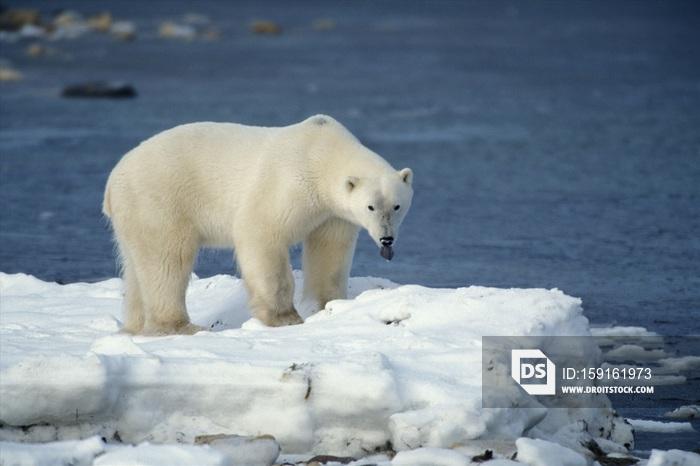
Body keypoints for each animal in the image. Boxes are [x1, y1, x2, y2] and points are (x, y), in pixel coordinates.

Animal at [103, 115, 413, 335]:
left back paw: (135, 326)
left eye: (397, 206)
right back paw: (180, 326)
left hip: (133, 213)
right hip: (160, 200)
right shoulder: (289, 183)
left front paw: (330, 305)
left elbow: (330, 251)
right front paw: (284, 318)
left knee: (137, 265)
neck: (322, 153)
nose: (386, 239)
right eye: (371, 207)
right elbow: (262, 234)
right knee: (167, 259)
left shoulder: (331, 214)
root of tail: (113, 179)